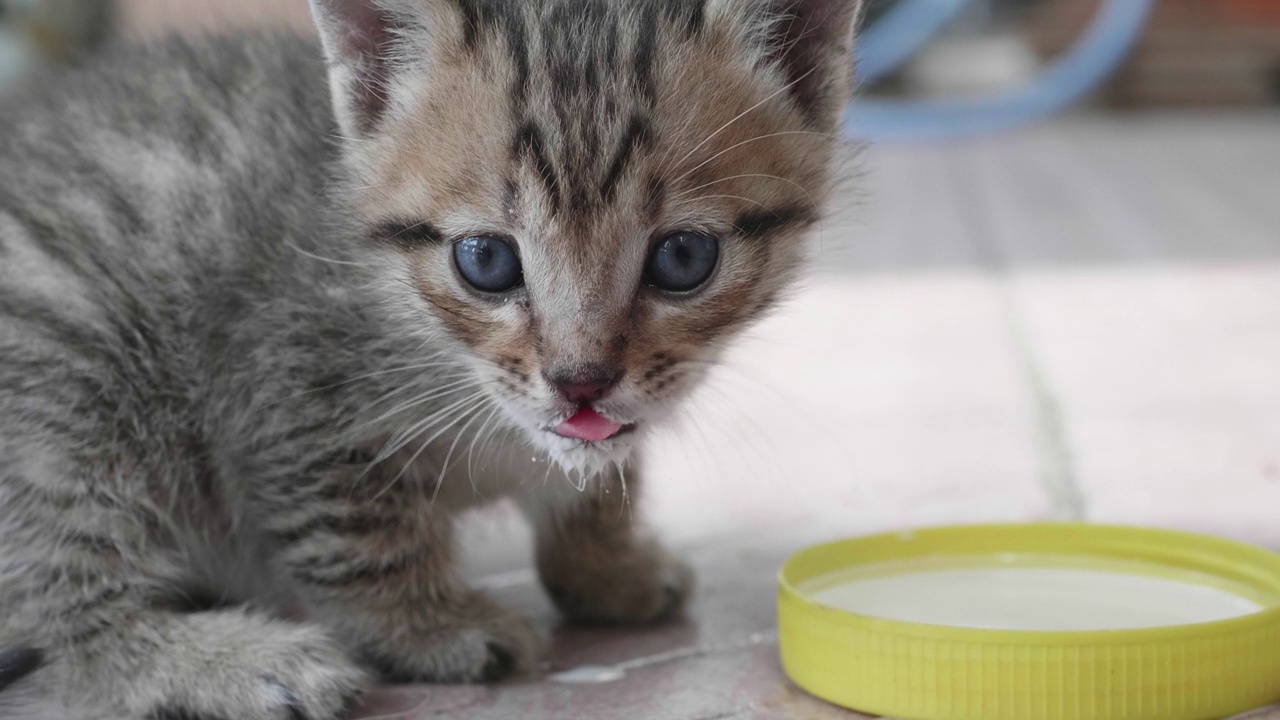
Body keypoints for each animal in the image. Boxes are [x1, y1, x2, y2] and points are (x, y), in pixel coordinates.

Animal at [0, 0, 860, 712]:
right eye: (486, 261)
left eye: (684, 258)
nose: (579, 382)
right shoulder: (286, 382)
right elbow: (354, 536)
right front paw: (430, 627)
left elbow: (599, 478)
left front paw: (607, 566)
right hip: (68, 373)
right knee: (62, 598)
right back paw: (225, 662)